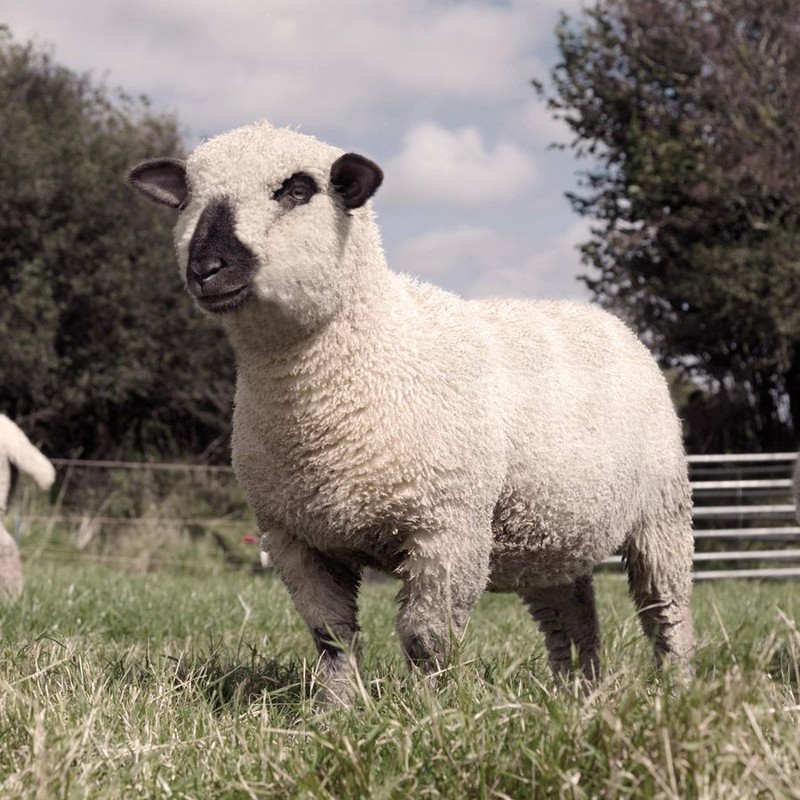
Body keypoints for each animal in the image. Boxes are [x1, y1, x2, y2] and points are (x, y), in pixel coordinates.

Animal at [128, 119, 696, 700]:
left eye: (297, 189)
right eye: (187, 199)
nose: (206, 268)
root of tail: (608, 320)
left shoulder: (448, 526)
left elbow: (427, 637)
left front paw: (434, 706)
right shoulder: (294, 538)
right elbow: (331, 637)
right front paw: (338, 707)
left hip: (662, 512)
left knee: (666, 610)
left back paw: (675, 684)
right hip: (550, 528)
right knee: (571, 613)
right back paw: (576, 691)